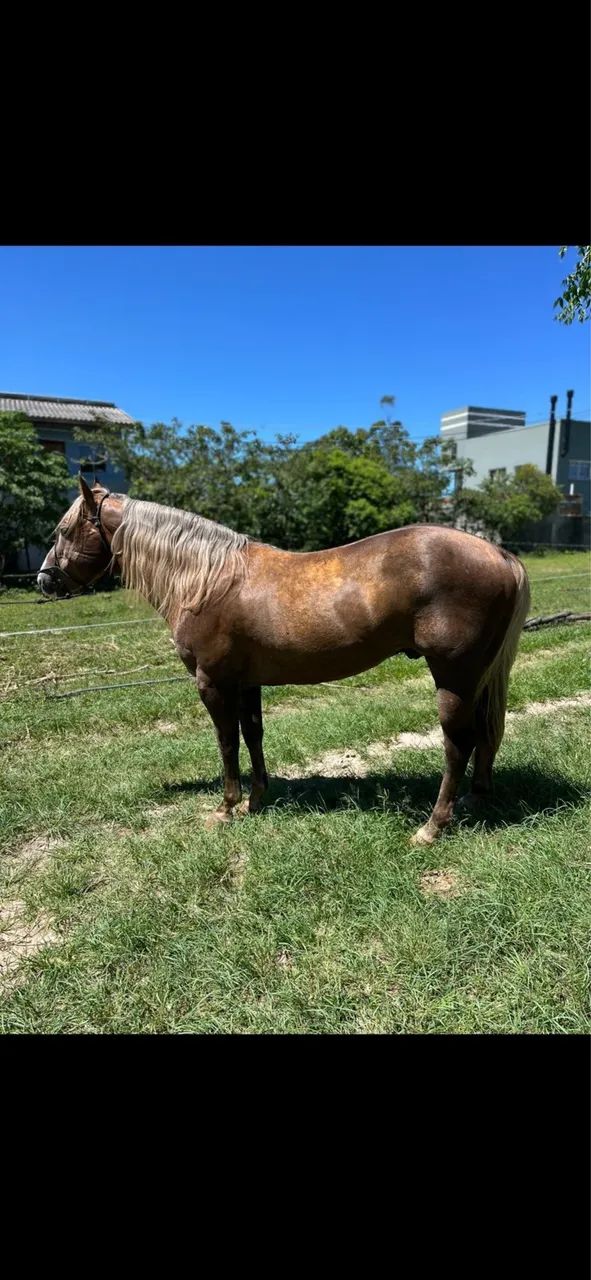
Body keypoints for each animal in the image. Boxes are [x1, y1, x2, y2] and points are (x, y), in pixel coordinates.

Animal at [38, 476, 530, 844]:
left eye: (63, 530)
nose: (45, 580)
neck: (206, 579)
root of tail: (500, 554)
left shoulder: (212, 683)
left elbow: (227, 743)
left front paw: (226, 808)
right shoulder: (246, 683)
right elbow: (253, 735)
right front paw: (256, 800)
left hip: (453, 677)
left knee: (457, 743)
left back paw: (431, 827)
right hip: (476, 678)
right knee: (483, 734)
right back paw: (474, 800)